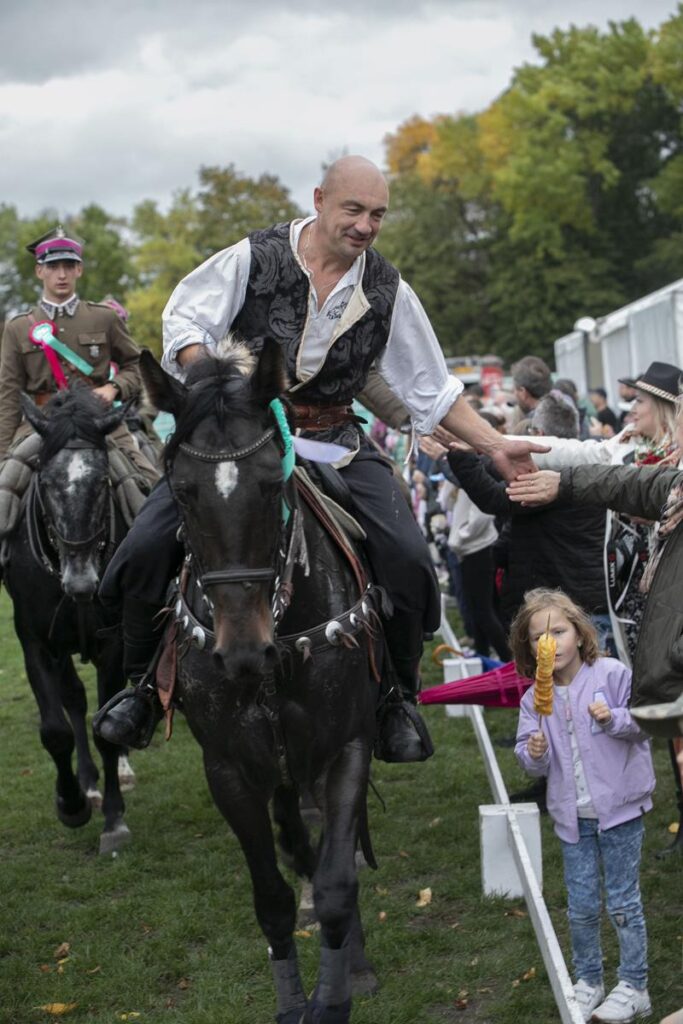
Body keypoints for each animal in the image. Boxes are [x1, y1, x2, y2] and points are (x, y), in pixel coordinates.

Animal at [2, 387, 134, 854]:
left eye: (102, 481)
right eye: (46, 482)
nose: (81, 582)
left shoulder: (113, 642)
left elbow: (105, 731)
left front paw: (113, 820)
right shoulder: (36, 642)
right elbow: (56, 729)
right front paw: (73, 803)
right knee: (75, 701)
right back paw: (88, 784)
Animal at [141, 341, 383, 1024]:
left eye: (274, 482)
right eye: (182, 491)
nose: (243, 652)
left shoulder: (346, 746)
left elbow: (336, 880)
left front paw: (336, 993)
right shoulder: (228, 768)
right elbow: (272, 897)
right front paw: (293, 998)